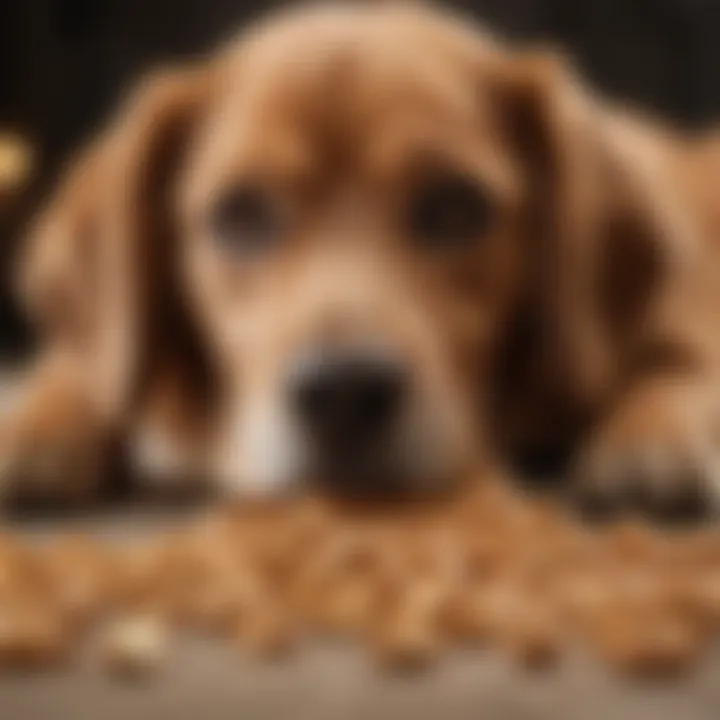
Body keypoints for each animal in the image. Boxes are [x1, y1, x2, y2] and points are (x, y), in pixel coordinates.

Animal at [1, 2, 720, 516]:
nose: (343, 394)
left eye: (455, 206)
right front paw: (37, 420)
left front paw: (654, 440)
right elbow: (88, 365)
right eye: (240, 214)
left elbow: (680, 367)